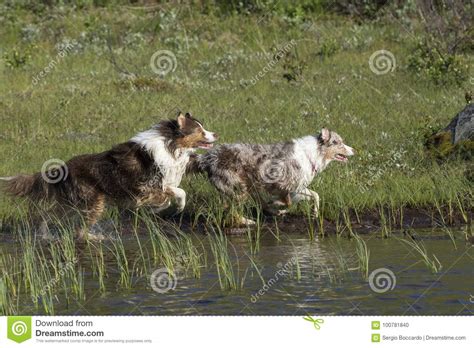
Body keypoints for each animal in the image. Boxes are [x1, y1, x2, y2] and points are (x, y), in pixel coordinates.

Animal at [0, 111, 218, 239]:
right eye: (200, 130)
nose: (215, 134)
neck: (170, 145)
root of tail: (62, 168)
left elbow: (173, 191)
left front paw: (164, 207)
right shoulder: (144, 188)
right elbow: (177, 191)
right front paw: (173, 206)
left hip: (72, 203)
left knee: (50, 214)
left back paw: (44, 233)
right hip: (92, 202)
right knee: (79, 229)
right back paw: (92, 238)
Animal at [191, 129, 354, 224]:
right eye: (338, 142)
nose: (354, 150)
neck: (312, 155)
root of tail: (206, 157)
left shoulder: (297, 187)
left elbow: (315, 195)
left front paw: (314, 213)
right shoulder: (284, 184)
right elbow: (288, 202)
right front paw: (277, 205)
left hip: (249, 187)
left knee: (254, 204)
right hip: (239, 189)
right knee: (231, 211)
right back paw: (248, 221)